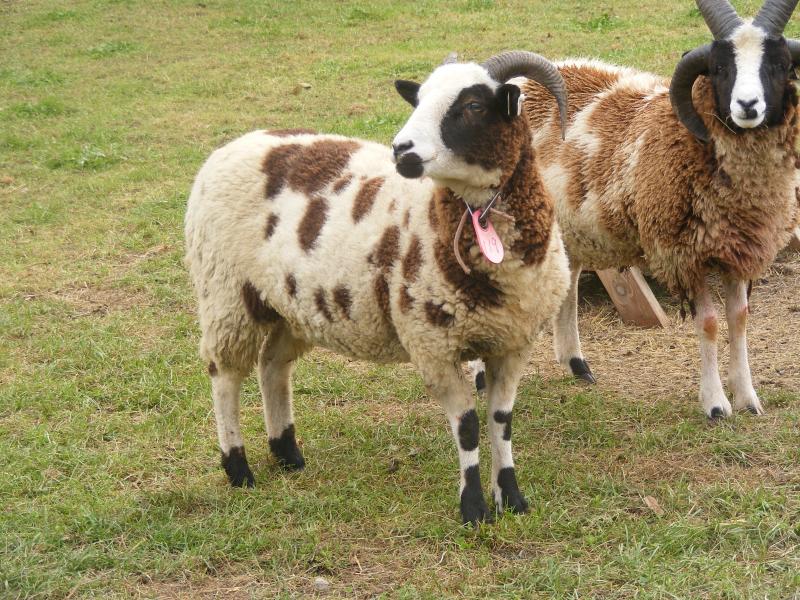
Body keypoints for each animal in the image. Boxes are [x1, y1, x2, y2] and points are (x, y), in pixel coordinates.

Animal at [184, 51, 571, 525]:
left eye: (473, 105)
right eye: (418, 100)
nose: (401, 150)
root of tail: (229, 147)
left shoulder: (514, 341)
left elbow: (501, 420)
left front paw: (512, 499)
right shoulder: (431, 343)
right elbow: (467, 426)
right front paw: (474, 509)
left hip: (290, 304)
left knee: (272, 366)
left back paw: (287, 454)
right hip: (228, 292)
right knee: (225, 374)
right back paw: (238, 468)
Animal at [480, 0, 800, 419]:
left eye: (779, 65)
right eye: (719, 68)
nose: (747, 106)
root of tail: (515, 83)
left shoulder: (738, 248)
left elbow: (740, 319)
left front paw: (748, 398)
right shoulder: (682, 252)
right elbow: (710, 324)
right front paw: (715, 403)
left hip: (568, 225)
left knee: (569, 281)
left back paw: (576, 364)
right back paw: (481, 376)